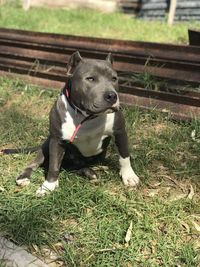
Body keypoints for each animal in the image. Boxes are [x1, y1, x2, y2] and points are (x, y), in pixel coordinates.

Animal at [9, 51, 141, 196]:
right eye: (90, 79)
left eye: (114, 78)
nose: (112, 96)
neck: (87, 117)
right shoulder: (57, 141)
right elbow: (54, 166)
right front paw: (48, 186)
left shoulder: (120, 132)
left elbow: (124, 156)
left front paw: (129, 176)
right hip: (46, 146)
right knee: (35, 163)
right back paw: (24, 177)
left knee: (75, 167)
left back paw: (89, 172)